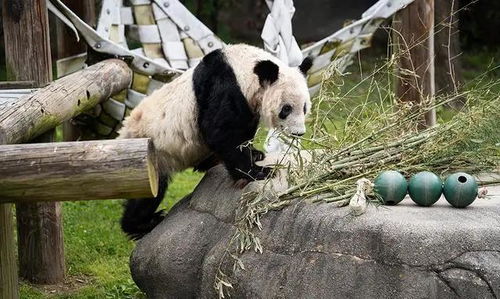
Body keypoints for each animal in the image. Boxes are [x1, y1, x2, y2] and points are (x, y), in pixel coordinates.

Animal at [118, 43, 310, 240]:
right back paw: (142, 224)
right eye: (286, 109)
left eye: (304, 107)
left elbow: (242, 131)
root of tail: (123, 134)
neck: (243, 68)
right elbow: (220, 132)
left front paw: (255, 154)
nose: (299, 133)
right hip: (151, 152)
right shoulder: (223, 85)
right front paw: (259, 172)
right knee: (148, 192)